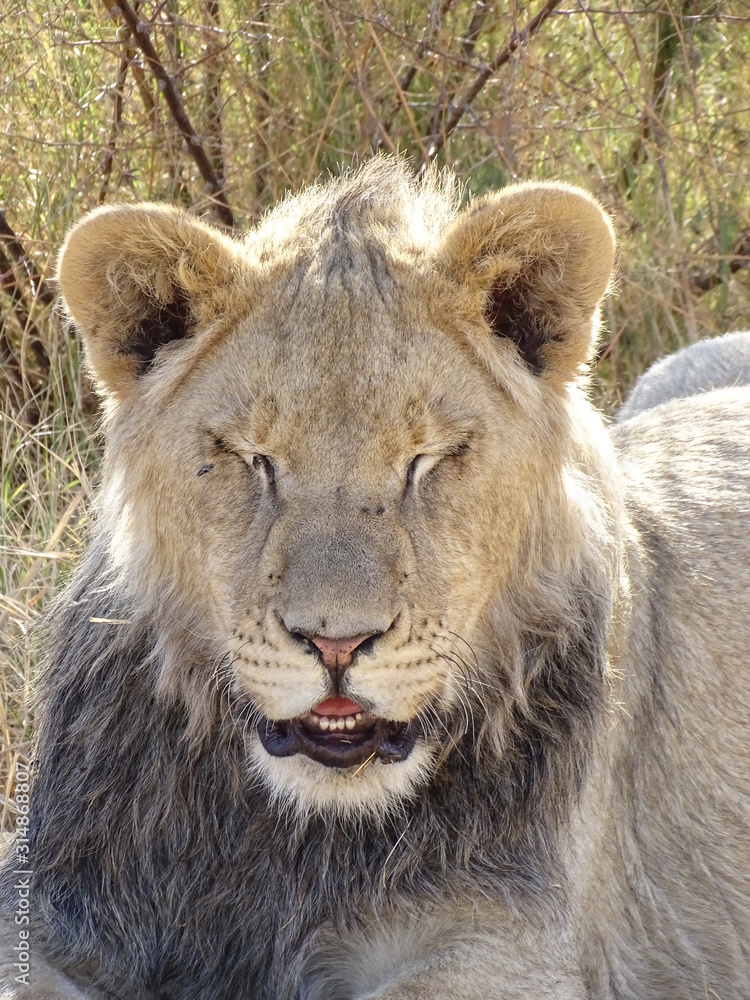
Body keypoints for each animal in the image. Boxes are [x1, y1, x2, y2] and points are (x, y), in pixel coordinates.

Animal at [2, 158, 750, 1000]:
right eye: (252, 458)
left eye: (427, 460)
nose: (336, 643)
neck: (298, 837)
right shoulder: (47, 908)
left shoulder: (511, 941)